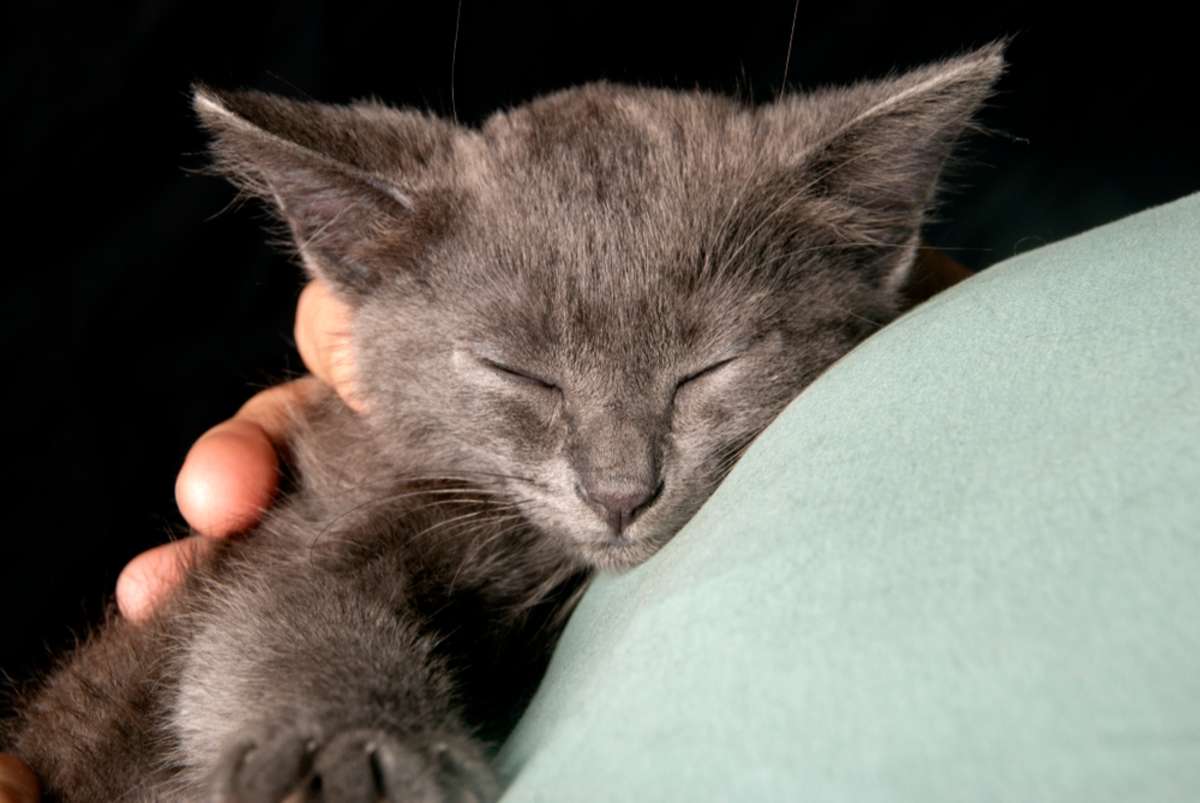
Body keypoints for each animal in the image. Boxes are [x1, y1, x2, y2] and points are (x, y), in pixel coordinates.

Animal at [4, 45, 1003, 801]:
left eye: (707, 368)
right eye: (517, 372)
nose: (619, 491)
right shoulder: (310, 525)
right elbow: (274, 619)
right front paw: (355, 759)